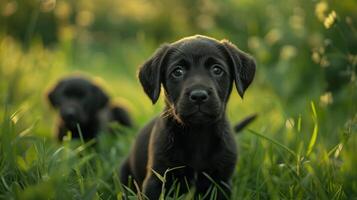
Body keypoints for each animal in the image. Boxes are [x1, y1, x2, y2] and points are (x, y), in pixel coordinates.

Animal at [121, 35, 254, 199]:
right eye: (178, 72)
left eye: (217, 70)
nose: (198, 96)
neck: (197, 134)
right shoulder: (157, 179)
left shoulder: (221, 182)